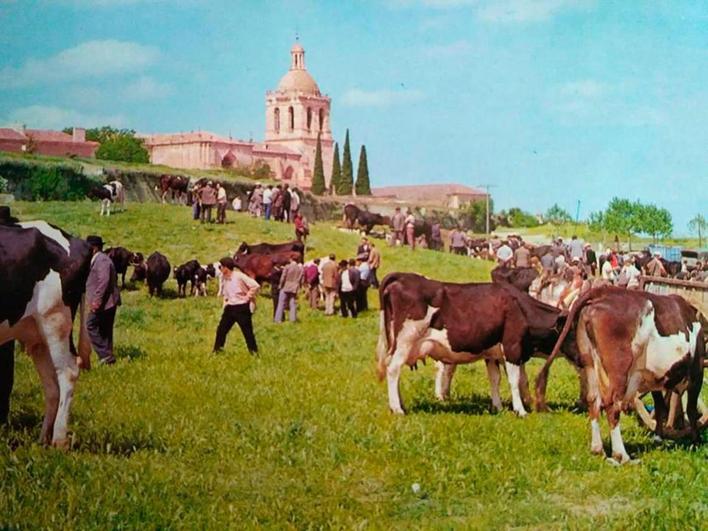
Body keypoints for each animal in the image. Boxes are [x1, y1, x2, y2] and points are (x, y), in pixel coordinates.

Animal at [0, 220, 92, 448]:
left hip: (55, 320)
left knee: (68, 372)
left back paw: (59, 440)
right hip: (38, 335)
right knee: (52, 386)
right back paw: (43, 439)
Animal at [536, 286, 704, 466]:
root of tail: (601, 293)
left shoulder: (653, 377)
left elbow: (660, 407)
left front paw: (659, 438)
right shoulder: (697, 373)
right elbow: (691, 409)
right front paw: (696, 441)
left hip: (590, 364)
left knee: (593, 400)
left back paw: (598, 450)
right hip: (618, 370)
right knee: (612, 404)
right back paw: (622, 455)